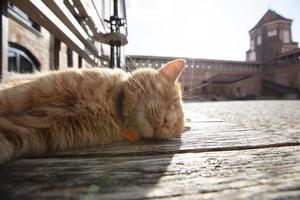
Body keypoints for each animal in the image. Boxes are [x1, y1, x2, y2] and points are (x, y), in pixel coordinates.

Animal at [0, 58, 186, 163]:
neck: (109, 106)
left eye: (174, 129)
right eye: (172, 101)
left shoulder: (25, 131)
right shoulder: (27, 90)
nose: (167, 123)